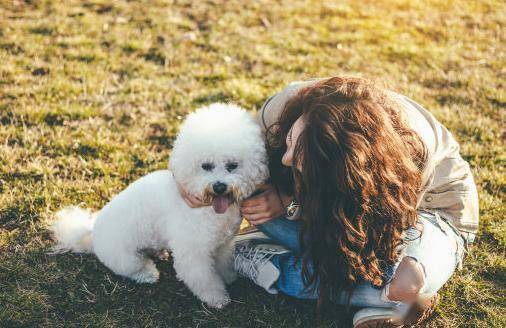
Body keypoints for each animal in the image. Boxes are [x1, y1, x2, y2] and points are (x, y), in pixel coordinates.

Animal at [49, 104, 268, 308]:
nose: (219, 186)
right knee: (134, 268)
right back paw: (148, 273)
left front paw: (229, 278)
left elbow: (223, 263)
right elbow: (204, 279)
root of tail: (92, 229)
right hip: (125, 258)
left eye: (232, 165)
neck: (208, 208)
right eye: (206, 166)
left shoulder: (223, 244)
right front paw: (217, 298)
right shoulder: (192, 252)